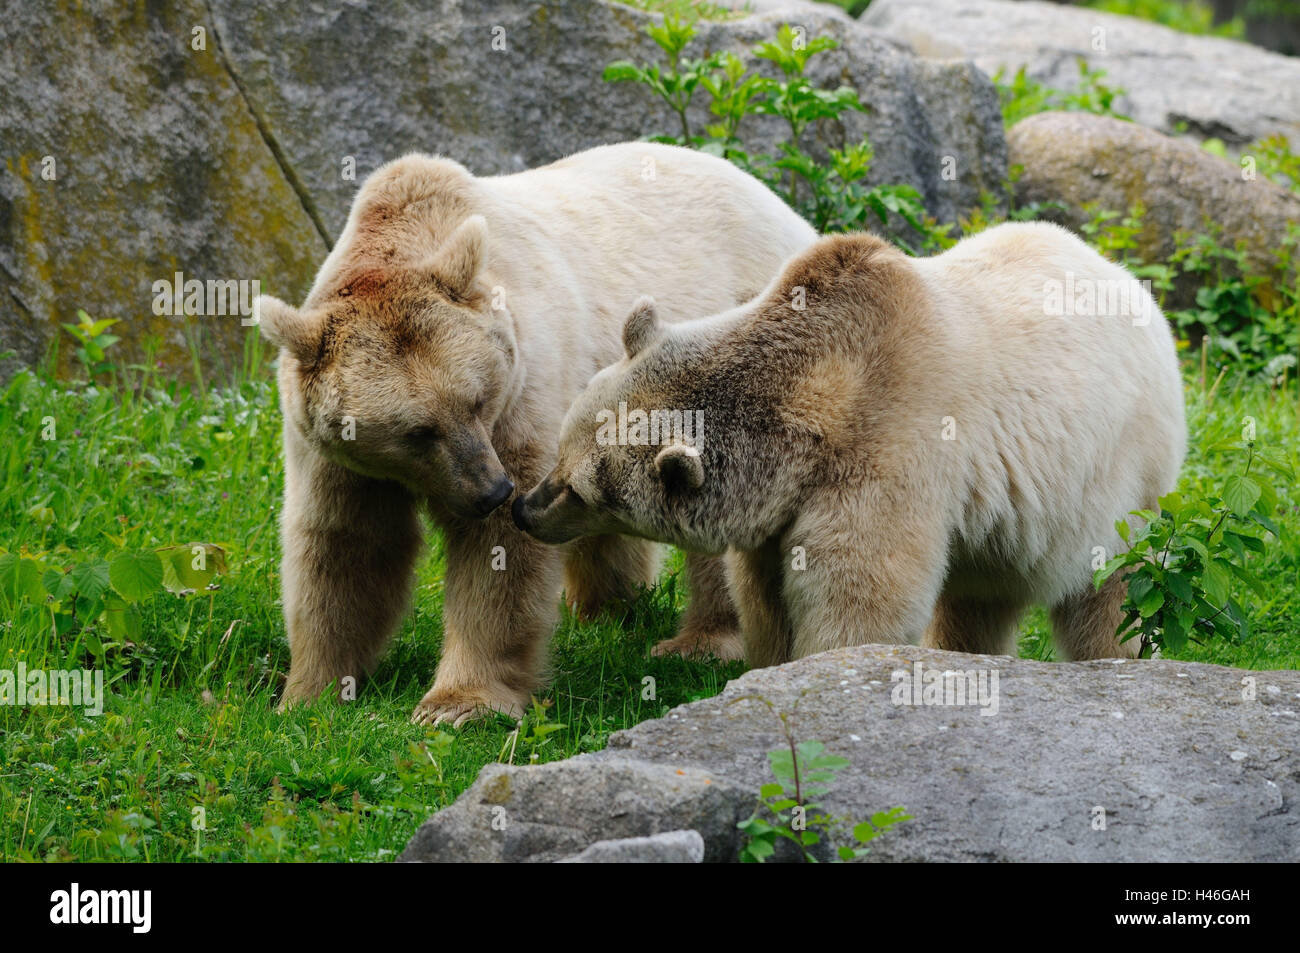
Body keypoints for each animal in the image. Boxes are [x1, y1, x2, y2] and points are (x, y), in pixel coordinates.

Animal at [253, 141, 816, 725]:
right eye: (417, 432)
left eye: (476, 401)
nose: (491, 491)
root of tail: (778, 203)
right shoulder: (336, 454)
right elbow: (346, 545)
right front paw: (307, 693)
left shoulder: (524, 391)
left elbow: (501, 556)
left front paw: (458, 704)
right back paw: (604, 609)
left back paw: (701, 640)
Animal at [513, 222, 1187, 665]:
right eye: (561, 450)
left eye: (584, 489)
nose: (525, 507)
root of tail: (1128, 282)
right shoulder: (778, 507)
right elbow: (765, 597)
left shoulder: (886, 447)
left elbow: (860, 591)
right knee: (980, 594)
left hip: (1119, 474)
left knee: (1111, 589)